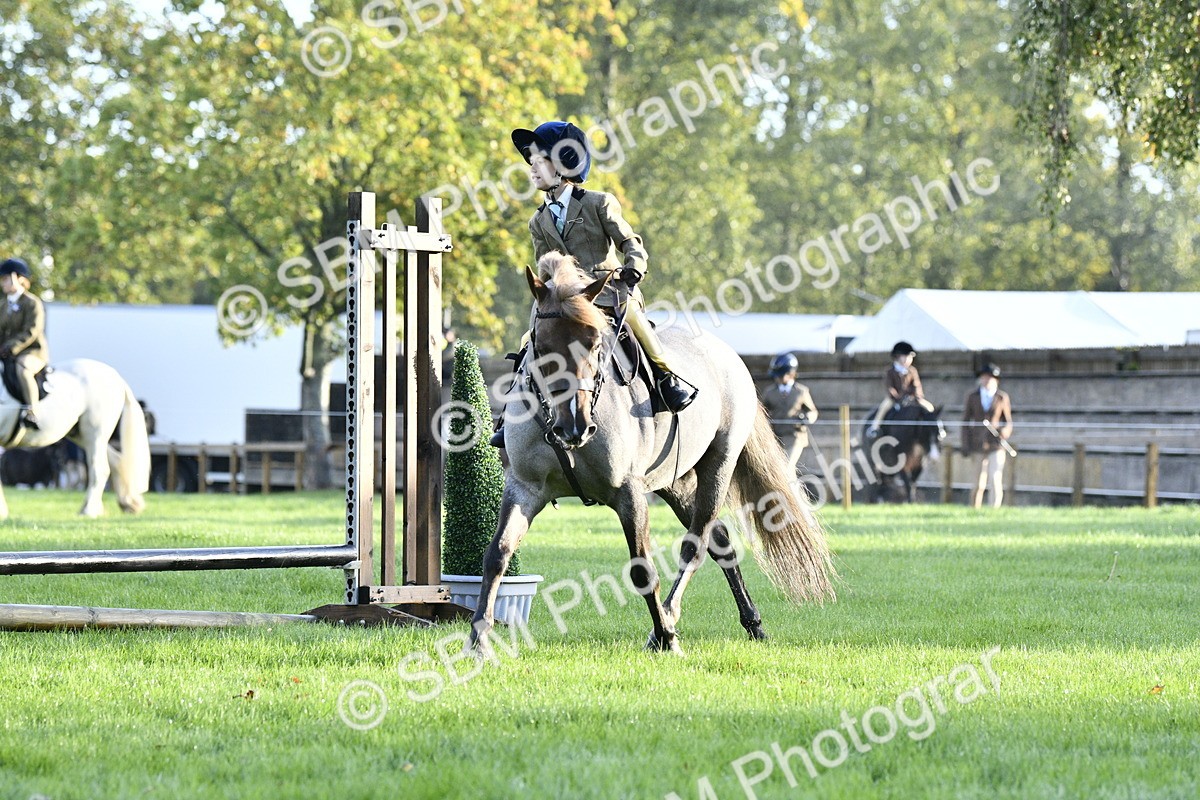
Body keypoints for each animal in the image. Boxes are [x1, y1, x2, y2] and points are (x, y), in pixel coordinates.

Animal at [0, 358, 150, 519]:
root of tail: (116, 376)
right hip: (82, 436)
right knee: (115, 461)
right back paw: (125, 503)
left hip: (95, 433)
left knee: (99, 469)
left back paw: (89, 510)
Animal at [468, 253, 835, 655]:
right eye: (541, 345)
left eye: (595, 345)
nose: (575, 427)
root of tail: (729, 356)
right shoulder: (524, 489)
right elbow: (497, 554)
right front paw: (478, 639)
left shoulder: (628, 494)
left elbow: (642, 568)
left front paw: (666, 637)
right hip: (673, 482)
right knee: (720, 541)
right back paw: (751, 623)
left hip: (718, 467)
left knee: (697, 542)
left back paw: (670, 620)